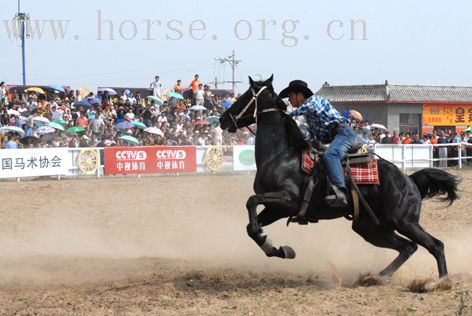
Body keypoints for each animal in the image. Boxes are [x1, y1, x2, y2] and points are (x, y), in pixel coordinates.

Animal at [219, 76, 460, 284]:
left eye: (244, 96)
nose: (222, 119)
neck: (282, 155)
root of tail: (409, 181)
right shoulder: (276, 208)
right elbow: (251, 228)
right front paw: (277, 248)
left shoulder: (286, 200)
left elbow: (251, 202)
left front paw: (275, 246)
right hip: (370, 227)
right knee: (407, 247)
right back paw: (377, 277)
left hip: (404, 221)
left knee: (434, 245)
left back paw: (440, 282)